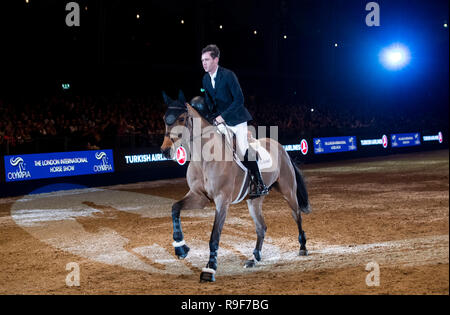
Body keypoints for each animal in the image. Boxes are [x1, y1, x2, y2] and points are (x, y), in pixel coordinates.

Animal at [160, 91, 312, 284]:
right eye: (165, 119)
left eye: (181, 118)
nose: (165, 151)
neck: (204, 158)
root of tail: (281, 148)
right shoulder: (199, 196)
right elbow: (175, 209)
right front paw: (181, 248)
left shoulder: (222, 200)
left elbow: (214, 235)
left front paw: (209, 269)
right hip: (254, 201)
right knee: (261, 227)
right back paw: (254, 258)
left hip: (288, 191)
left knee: (296, 215)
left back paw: (302, 247)